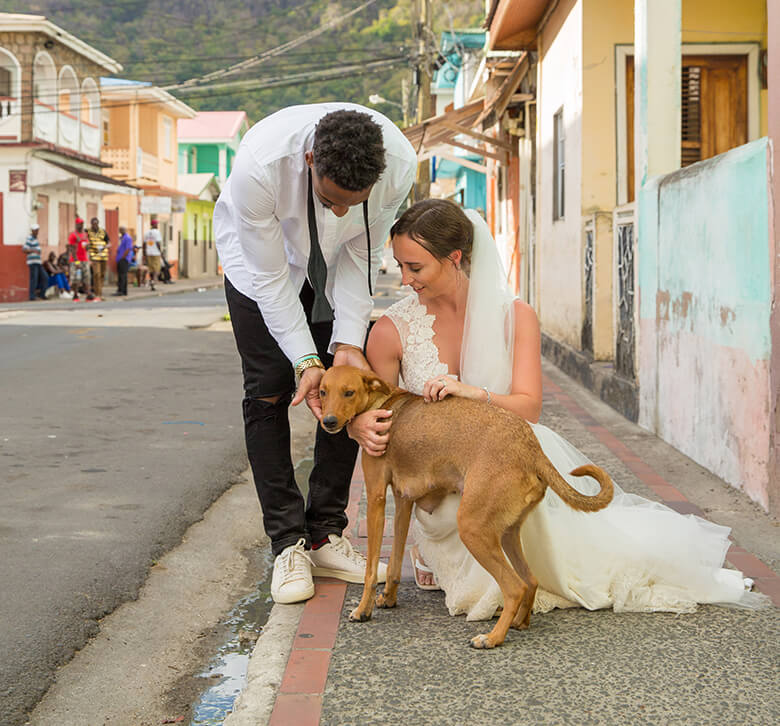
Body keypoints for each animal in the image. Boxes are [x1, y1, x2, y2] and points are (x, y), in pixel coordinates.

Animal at [318, 366, 616, 652]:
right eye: (322, 391)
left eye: (349, 392)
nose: (328, 421)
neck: (383, 404)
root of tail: (532, 450)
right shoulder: (403, 502)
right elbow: (393, 564)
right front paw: (388, 598)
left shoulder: (376, 499)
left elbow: (371, 570)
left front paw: (362, 610)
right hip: (506, 533)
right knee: (530, 580)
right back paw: (519, 622)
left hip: (473, 529)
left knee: (514, 587)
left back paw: (492, 638)